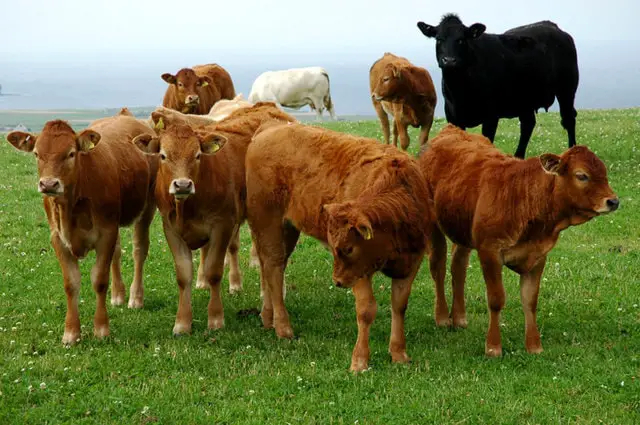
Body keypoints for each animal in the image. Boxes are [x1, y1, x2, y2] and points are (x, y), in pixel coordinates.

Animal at [6, 112, 157, 344]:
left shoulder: (106, 233)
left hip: (147, 207)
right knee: (117, 253)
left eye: (71, 153)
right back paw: (118, 295)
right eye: (37, 154)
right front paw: (71, 332)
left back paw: (135, 297)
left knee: (139, 250)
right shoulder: (58, 238)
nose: (48, 184)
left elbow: (99, 280)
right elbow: (71, 284)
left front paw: (101, 329)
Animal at [133, 103, 295, 335]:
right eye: (163, 156)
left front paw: (216, 319)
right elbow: (183, 275)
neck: (188, 206)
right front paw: (182, 323)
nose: (182, 185)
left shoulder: (222, 225)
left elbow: (214, 271)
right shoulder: (171, 228)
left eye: (198, 155)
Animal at [246, 122, 432, 372]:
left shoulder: (411, 263)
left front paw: (399, 353)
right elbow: (366, 310)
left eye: (349, 248)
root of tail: (271, 127)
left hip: (287, 229)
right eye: (336, 248)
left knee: (270, 266)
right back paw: (283, 327)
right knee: (274, 269)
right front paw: (360, 360)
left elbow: (399, 306)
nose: (337, 281)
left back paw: (268, 318)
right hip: (268, 224)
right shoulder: (360, 272)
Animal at [417, 14, 579, 158]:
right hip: (525, 99)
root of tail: (553, 27)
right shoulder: (453, 115)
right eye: (439, 39)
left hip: (567, 89)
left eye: (461, 40)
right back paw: (518, 157)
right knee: (528, 124)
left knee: (568, 119)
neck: (461, 91)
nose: (449, 60)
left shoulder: (491, 116)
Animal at [419, 125, 618, 356]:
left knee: (458, 267)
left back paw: (459, 317)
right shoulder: (489, 252)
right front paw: (493, 347)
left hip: (462, 231)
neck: (523, 197)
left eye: (604, 173)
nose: (613, 201)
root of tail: (451, 129)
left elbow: (530, 301)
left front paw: (534, 346)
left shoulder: (538, 255)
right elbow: (496, 299)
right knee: (438, 267)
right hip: (434, 227)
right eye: (582, 175)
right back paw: (442, 317)